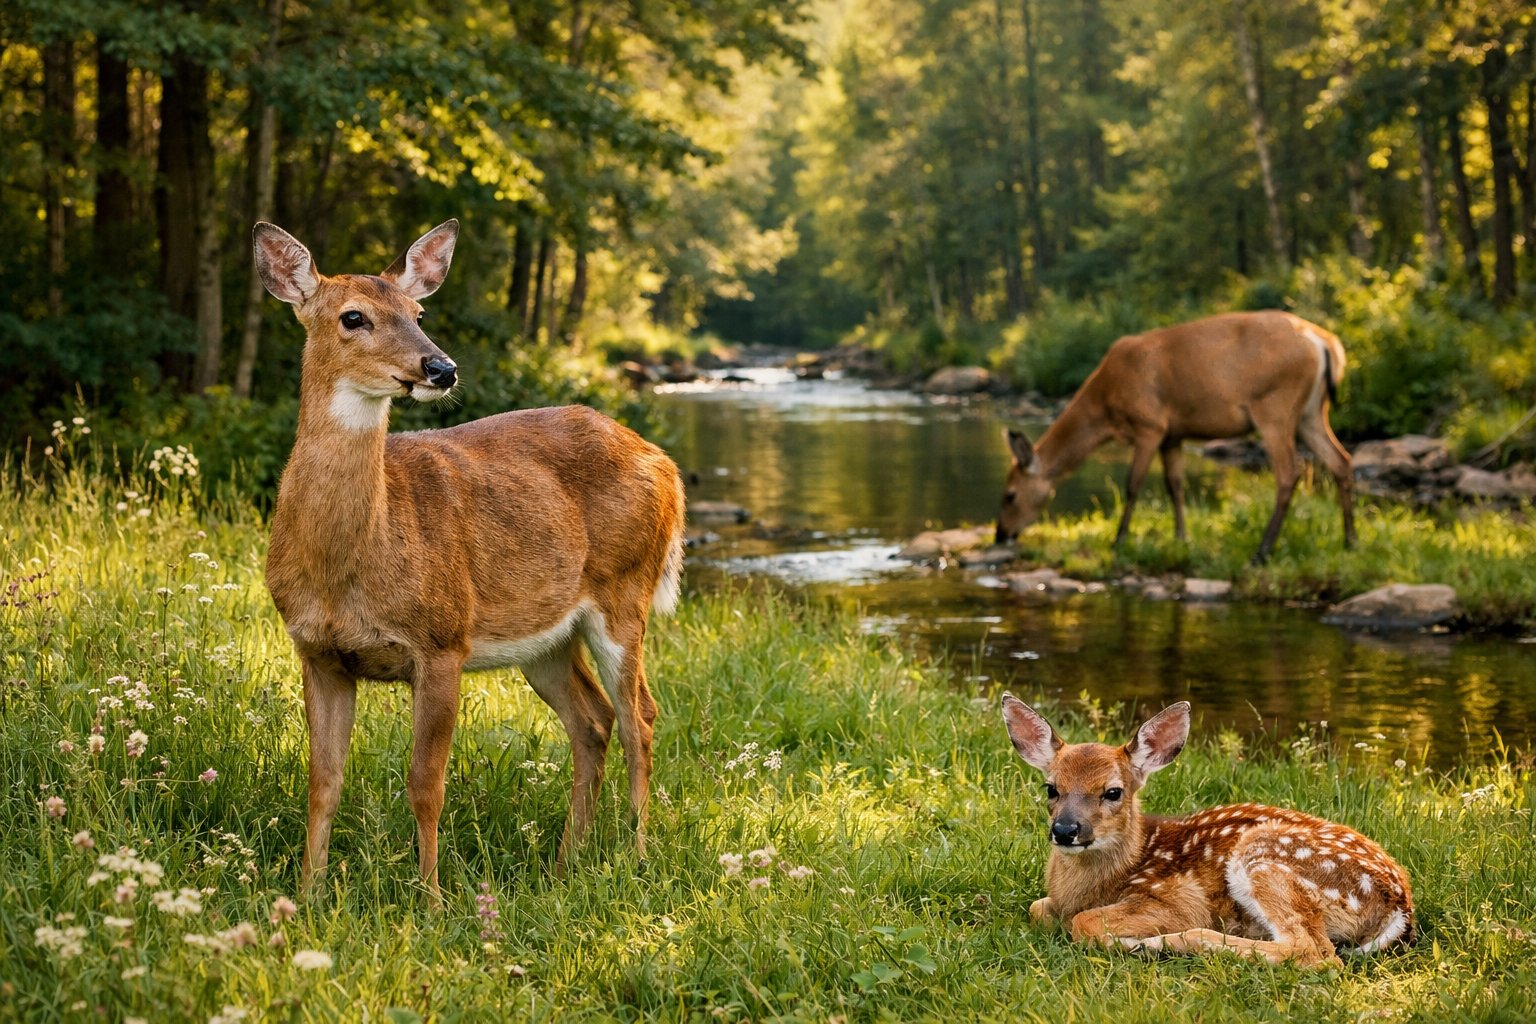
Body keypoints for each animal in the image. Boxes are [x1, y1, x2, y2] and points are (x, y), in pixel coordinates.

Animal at [252, 219, 686, 899]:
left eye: (418, 312)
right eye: (353, 317)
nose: (441, 367)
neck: (347, 565)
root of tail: (666, 464)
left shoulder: (441, 639)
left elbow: (425, 785)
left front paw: (431, 901)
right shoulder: (318, 652)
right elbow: (322, 784)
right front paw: (305, 897)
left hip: (625, 591)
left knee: (638, 714)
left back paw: (637, 856)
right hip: (544, 638)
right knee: (592, 720)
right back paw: (565, 864)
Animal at [995, 311, 1355, 563]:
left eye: (1010, 495)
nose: (1001, 534)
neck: (1105, 409)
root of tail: (1325, 343)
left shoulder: (1150, 424)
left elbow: (1133, 483)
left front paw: (1119, 540)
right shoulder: (1173, 434)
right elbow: (1175, 484)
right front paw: (1182, 538)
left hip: (1274, 404)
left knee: (1289, 471)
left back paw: (1262, 551)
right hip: (1310, 412)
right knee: (1341, 460)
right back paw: (1349, 541)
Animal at [1000, 694, 1414, 967]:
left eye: (1113, 791)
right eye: (1051, 788)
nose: (1065, 830)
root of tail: (1400, 906)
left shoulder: (1176, 898)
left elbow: (1082, 922)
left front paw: (1125, 939)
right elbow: (1038, 908)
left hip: (1265, 856)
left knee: (1314, 953)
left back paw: (1159, 944)